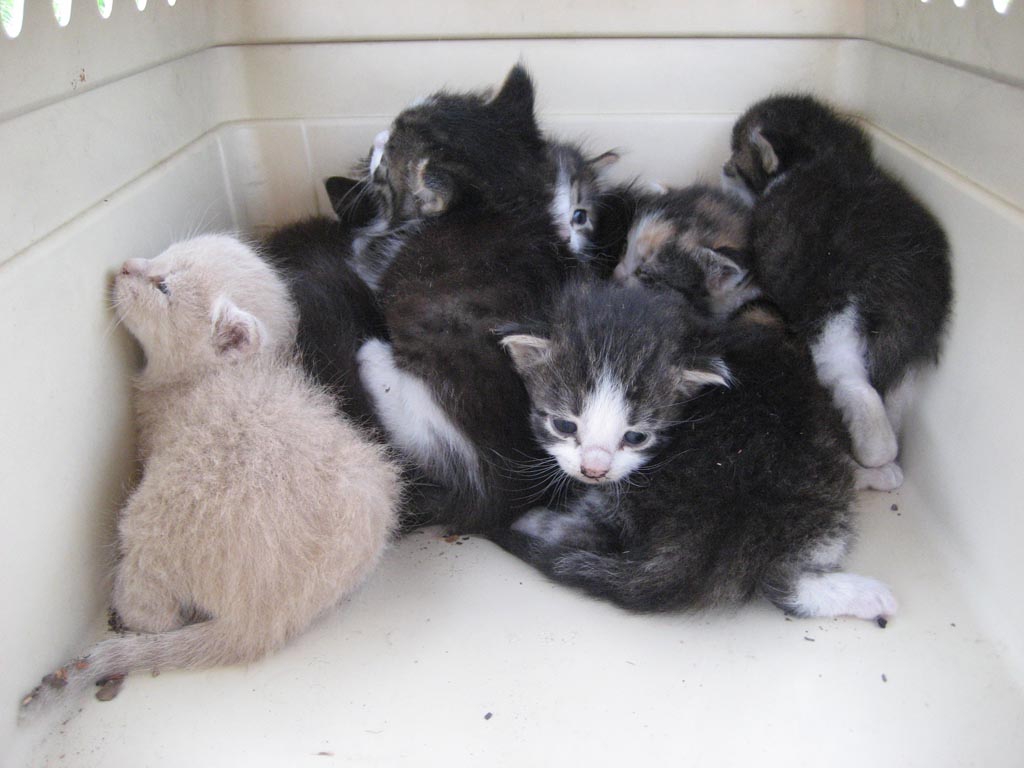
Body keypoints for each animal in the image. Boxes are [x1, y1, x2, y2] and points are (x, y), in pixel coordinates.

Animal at [20, 234, 400, 717]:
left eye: (162, 286)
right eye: (162, 254)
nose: (125, 266)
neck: (207, 378)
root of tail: (260, 623)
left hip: (151, 516)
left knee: (153, 612)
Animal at [493, 280, 897, 620]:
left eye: (635, 437)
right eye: (564, 427)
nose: (593, 470)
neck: (768, 347)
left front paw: (877, 472)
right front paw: (875, 472)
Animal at [722, 95, 952, 487]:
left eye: (737, 159)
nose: (722, 167)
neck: (819, 156)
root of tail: (901, 273)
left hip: (832, 314)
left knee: (854, 383)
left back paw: (875, 453)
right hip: (912, 338)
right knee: (896, 390)